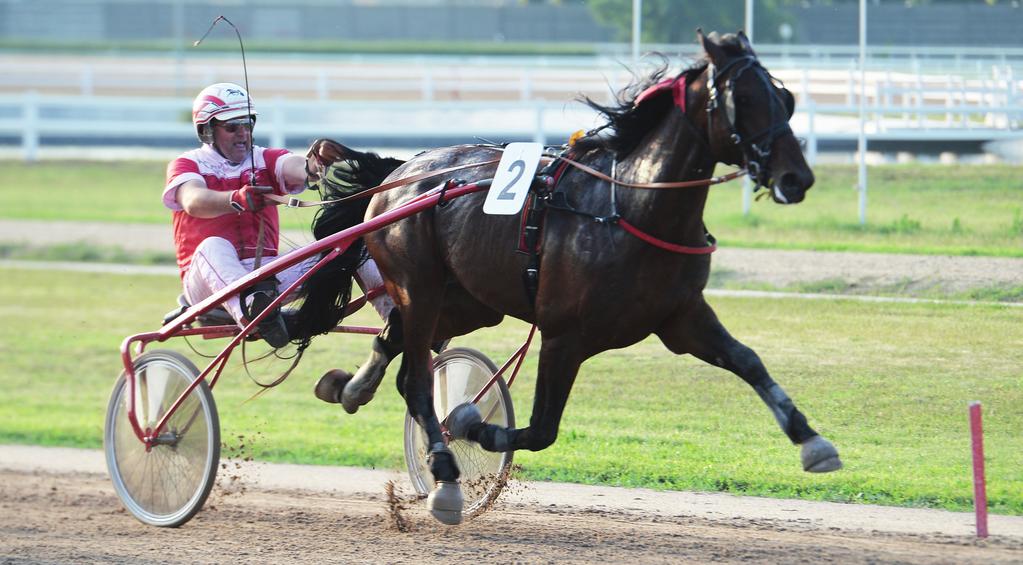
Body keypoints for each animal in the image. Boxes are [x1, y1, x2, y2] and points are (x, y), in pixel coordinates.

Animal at [339, 30, 842, 524]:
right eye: (746, 98)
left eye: (785, 98)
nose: (796, 177)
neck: (629, 207)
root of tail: (404, 170)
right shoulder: (564, 335)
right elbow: (540, 429)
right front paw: (466, 421)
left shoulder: (681, 317)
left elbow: (749, 361)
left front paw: (813, 442)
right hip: (419, 286)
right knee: (418, 381)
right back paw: (444, 476)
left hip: (468, 301)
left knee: (400, 348)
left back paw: (353, 387)